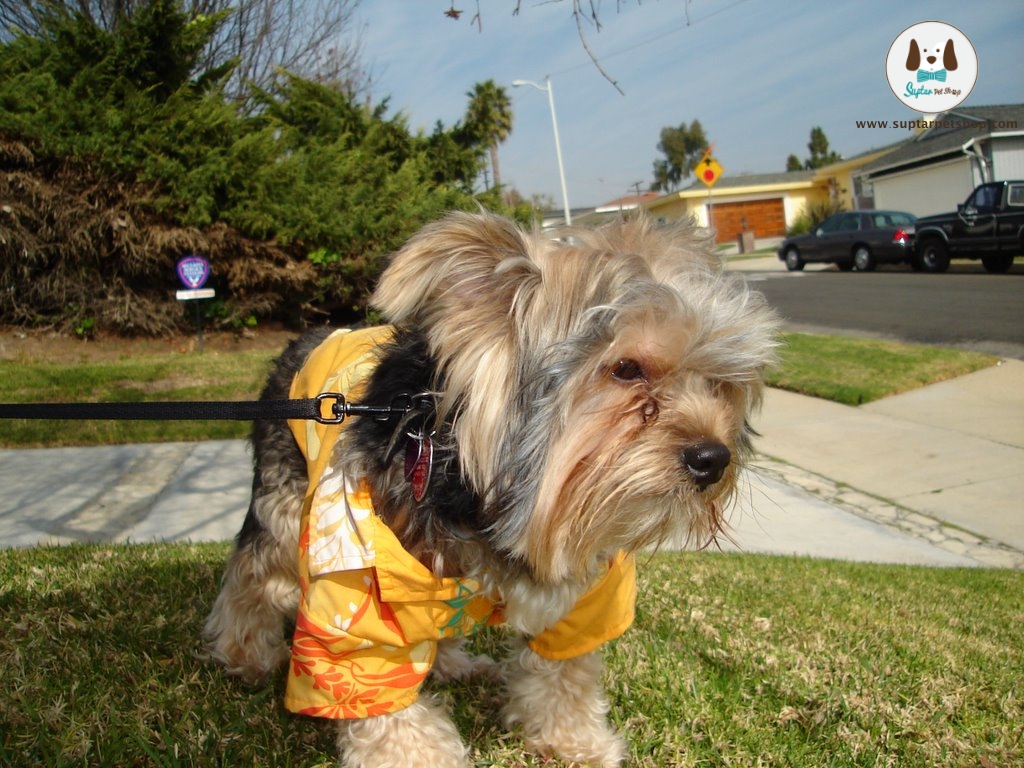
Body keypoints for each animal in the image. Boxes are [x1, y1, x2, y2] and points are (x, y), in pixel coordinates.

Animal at [203, 210, 778, 768]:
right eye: (627, 368)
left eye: (719, 382)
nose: (713, 458)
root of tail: (307, 337)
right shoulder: (364, 580)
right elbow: (379, 694)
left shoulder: (583, 592)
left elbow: (565, 670)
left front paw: (573, 740)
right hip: (286, 502)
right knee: (255, 572)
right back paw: (243, 654)